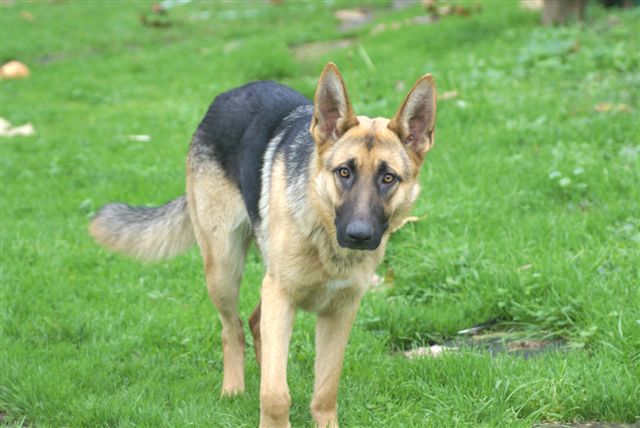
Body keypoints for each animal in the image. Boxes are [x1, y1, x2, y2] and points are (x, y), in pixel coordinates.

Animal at [90, 63, 438, 428]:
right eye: (344, 172)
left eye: (388, 178)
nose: (359, 235)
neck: (324, 235)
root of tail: (229, 94)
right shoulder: (280, 295)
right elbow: (275, 394)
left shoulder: (339, 312)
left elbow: (325, 391)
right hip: (224, 270)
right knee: (232, 330)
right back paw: (233, 390)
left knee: (256, 324)